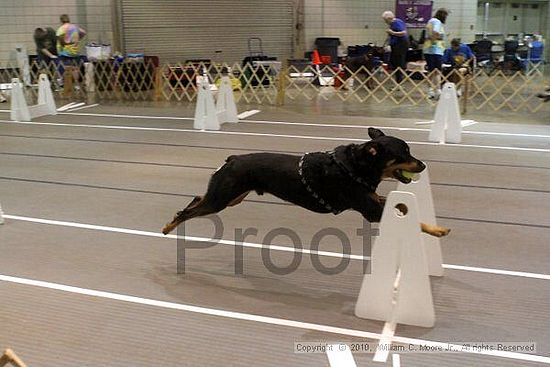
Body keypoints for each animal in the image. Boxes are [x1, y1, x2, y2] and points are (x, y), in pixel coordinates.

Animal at [162, 129, 450, 239]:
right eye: (403, 154)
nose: (422, 166)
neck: (355, 167)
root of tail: (232, 159)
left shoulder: (372, 200)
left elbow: (399, 206)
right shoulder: (370, 210)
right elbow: (412, 218)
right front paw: (436, 230)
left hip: (231, 196)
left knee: (197, 199)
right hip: (222, 198)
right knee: (187, 211)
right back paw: (169, 226)